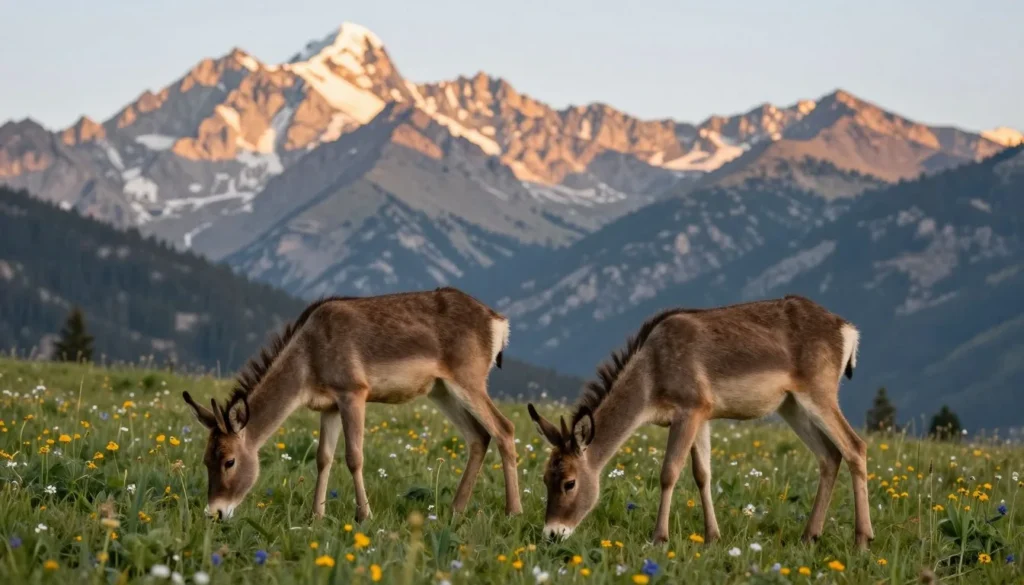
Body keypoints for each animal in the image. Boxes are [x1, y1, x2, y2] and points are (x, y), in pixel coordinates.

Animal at [181, 287, 522, 522]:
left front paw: (364, 515)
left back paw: (513, 511)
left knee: (504, 427)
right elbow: (323, 457)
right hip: (440, 389)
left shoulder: (354, 390)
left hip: (469, 378)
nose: (215, 513)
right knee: (479, 435)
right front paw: (316, 515)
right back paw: (455, 509)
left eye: (229, 461)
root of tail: (500, 324)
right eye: (205, 459)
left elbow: (354, 456)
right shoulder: (329, 405)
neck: (308, 367)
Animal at [528, 295, 874, 550]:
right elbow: (702, 474)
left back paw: (862, 539)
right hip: (791, 404)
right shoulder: (702, 414)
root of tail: (850, 332)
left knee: (855, 446)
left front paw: (659, 537)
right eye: (544, 477)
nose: (552, 533)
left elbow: (669, 472)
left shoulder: (690, 406)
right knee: (829, 454)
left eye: (569, 482)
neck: (651, 385)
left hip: (819, 390)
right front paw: (712, 537)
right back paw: (809, 535)